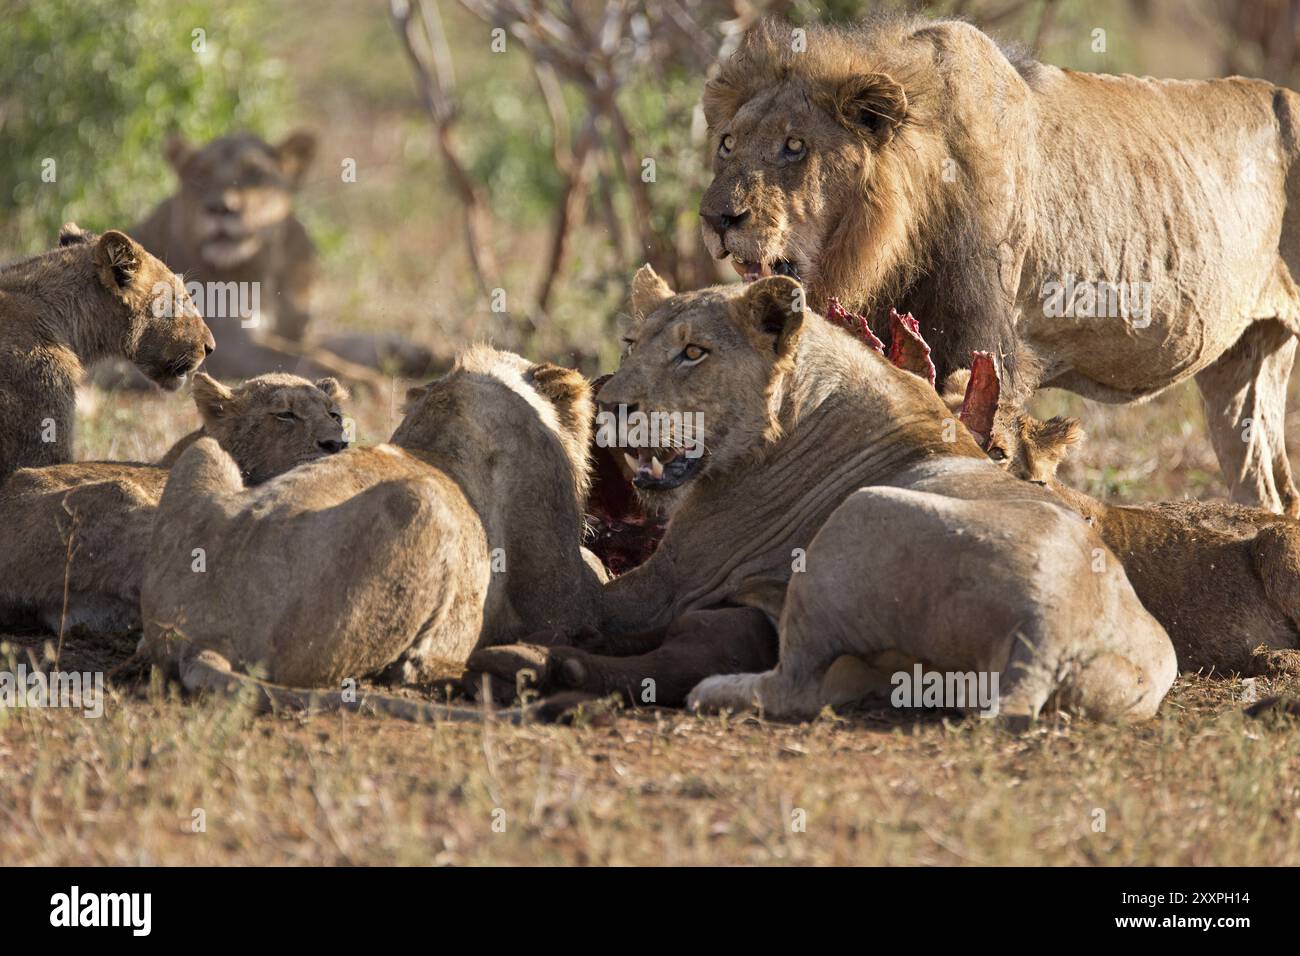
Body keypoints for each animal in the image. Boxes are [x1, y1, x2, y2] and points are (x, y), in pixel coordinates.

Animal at [125, 132, 430, 385]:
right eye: (200, 176)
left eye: (255, 174)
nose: (221, 208)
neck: (263, 272)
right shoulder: (232, 345)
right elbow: (311, 358)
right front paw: (370, 383)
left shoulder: (297, 330)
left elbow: (343, 341)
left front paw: (420, 352)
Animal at [468, 267, 1175, 723]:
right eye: (631, 344)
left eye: (693, 353)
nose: (610, 407)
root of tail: (1047, 630)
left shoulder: (667, 583)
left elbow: (581, 595)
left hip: (855, 517)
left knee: (795, 687)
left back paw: (701, 689)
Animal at [698, 15, 1300, 516]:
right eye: (727, 144)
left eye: (795, 146)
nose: (716, 218)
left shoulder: (980, 339)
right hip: (1244, 362)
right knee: (1268, 487)